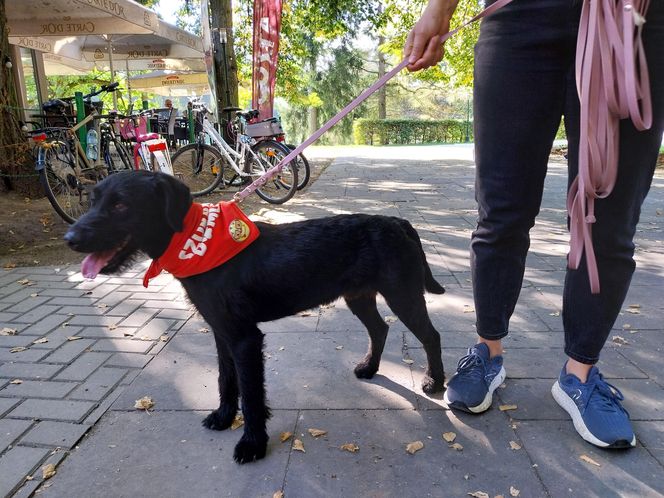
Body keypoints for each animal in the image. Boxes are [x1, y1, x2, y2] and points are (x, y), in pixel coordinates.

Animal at [66, 170, 446, 462]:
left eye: (121, 204)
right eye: (92, 200)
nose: (70, 238)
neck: (195, 240)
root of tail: (400, 223)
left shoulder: (244, 339)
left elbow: (250, 394)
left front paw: (252, 443)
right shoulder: (221, 332)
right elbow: (226, 380)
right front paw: (223, 417)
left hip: (403, 295)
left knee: (431, 335)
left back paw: (435, 382)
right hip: (360, 297)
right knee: (379, 329)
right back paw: (369, 367)